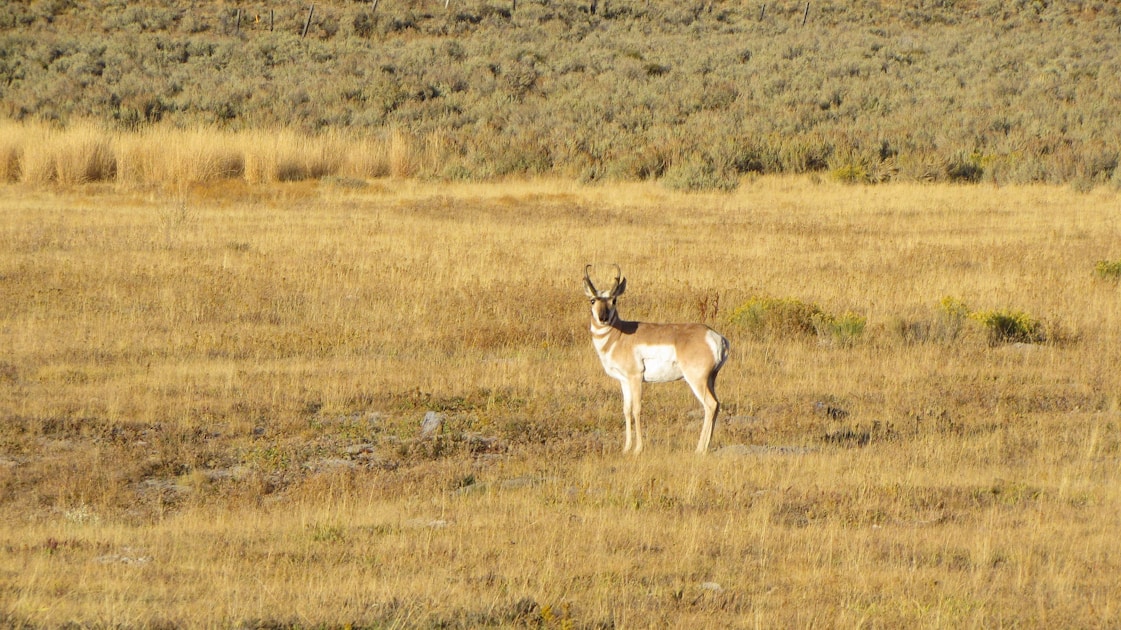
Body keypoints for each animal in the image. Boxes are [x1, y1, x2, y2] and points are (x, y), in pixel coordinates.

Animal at [583, 265, 730, 454]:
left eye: (614, 300)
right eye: (592, 300)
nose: (603, 318)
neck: (620, 335)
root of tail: (715, 336)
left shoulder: (635, 378)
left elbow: (637, 409)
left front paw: (638, 449)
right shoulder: (624, 381)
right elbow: (626, 410)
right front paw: (626, 448)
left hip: (696, 380)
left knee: (710, 405)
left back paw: (699, 450)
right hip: (711, 379)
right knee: (717, 405)